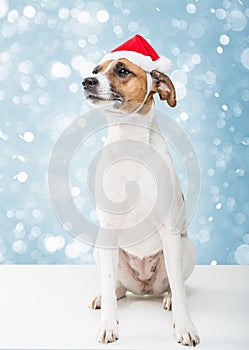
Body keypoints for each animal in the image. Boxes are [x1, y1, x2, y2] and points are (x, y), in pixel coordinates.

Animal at [82, 35, 199, 348]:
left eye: (122, 70)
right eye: (96, 70)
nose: (86, 80)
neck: (129, 143)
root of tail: (145, 288)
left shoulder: (169, 231)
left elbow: (180, 291)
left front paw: (185, 326)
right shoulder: (108, 230)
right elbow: (109, 282)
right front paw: (107, 324)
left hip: (184, 248)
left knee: (175, 285)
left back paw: (169, 298)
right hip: (101, 249)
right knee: (117, 287)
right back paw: (106, 295)